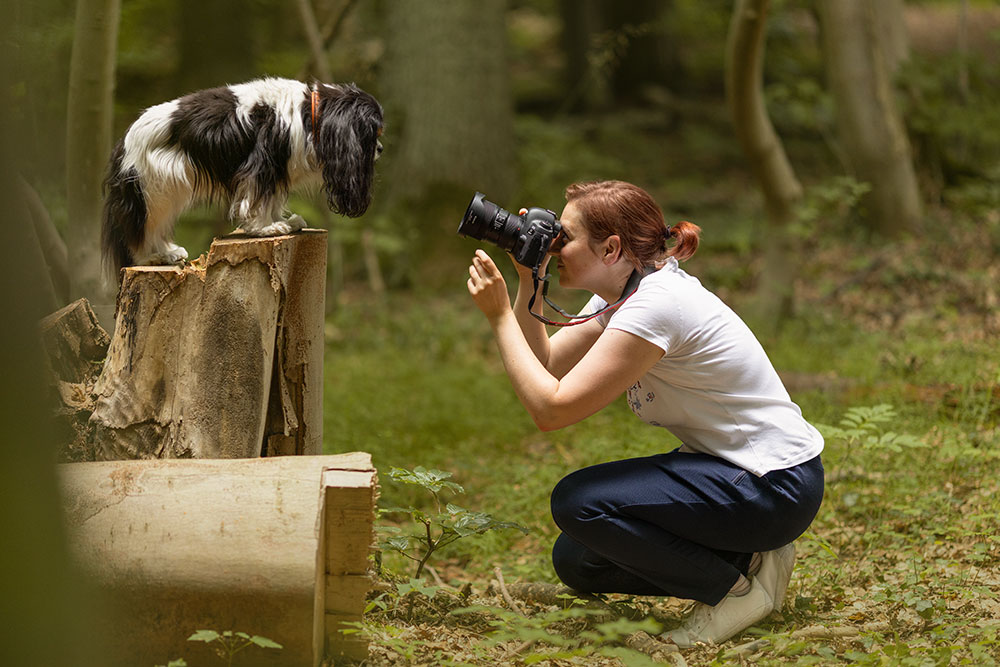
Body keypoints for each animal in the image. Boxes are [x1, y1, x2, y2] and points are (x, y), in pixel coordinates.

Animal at [100, 77, 382, 280]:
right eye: (374, 133)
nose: (380, 149)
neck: (311, 114)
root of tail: (123, 143)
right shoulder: (262, 164)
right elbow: (256, 200)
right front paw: (265, 228)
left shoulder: (276, 172)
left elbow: (272, 199)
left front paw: (282, 222)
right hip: (155, 189)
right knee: (141, 230)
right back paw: (152, 258)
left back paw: (168, 252)